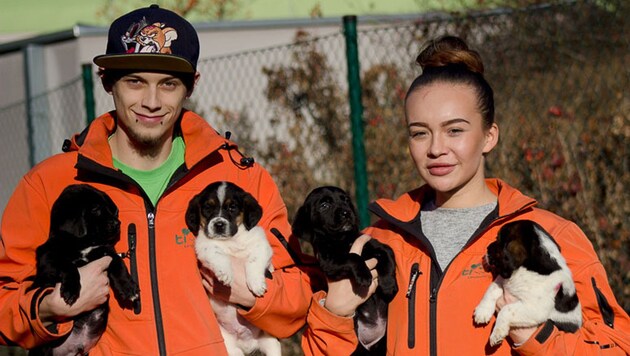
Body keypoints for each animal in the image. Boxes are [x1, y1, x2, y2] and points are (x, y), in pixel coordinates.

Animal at [29, 185, 139, 354]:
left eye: (113, 211)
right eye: (95, 209)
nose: (117, 223)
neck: (83, 243)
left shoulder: (106, 251)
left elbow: (118, 262)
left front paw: (128, 288)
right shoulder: (47, 258)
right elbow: (68, 265)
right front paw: (71, 290)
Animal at [184, 181, 280, 356]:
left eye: (232, 207)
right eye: (208, 208)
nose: (219, 225)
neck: (231, 241)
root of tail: (248, 344)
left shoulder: (261, 245)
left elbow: (254, 261)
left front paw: (256, 284)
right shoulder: (204, 247)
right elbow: (218, 254)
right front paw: (225, 274)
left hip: (272, 343)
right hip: (231, 348)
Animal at [474, 218, 584, 346]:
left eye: (499, 239)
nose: (487, 248)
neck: (528, 268)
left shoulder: (535, 307)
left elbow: (506, 310)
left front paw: (497, 333)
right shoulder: (504, 279)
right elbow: (492, 288)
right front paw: (482, 311)